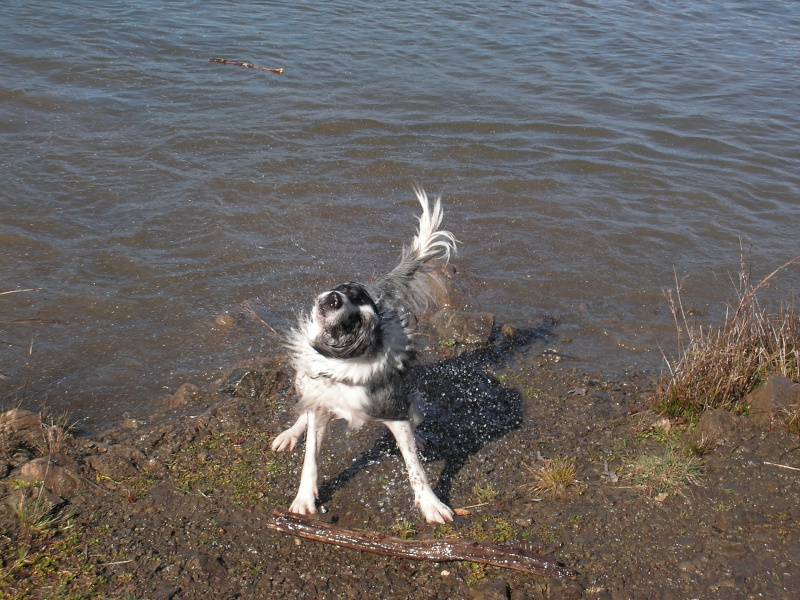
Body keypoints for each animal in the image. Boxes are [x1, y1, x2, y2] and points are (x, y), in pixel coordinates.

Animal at [270, 185, 454, 524]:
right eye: (349, 292)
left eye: (354, 320)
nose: (333, 298)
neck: (345, 364)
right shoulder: (320, 406)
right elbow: (310, 458)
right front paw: (304, 499)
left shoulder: (393, 410)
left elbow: (415, 468)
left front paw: (431, 503)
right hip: (304, 381)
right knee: (304, 410)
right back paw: (291, 432)